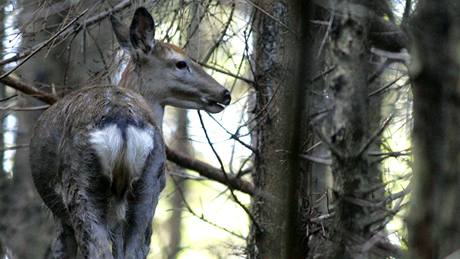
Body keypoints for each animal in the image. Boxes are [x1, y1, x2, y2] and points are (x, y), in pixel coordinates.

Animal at [29, 7, 230, 258]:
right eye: (181, 63)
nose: (225, 93)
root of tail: (123, 120)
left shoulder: (59, 216)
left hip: (81, 184)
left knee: (97, 248)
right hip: (149, 185)